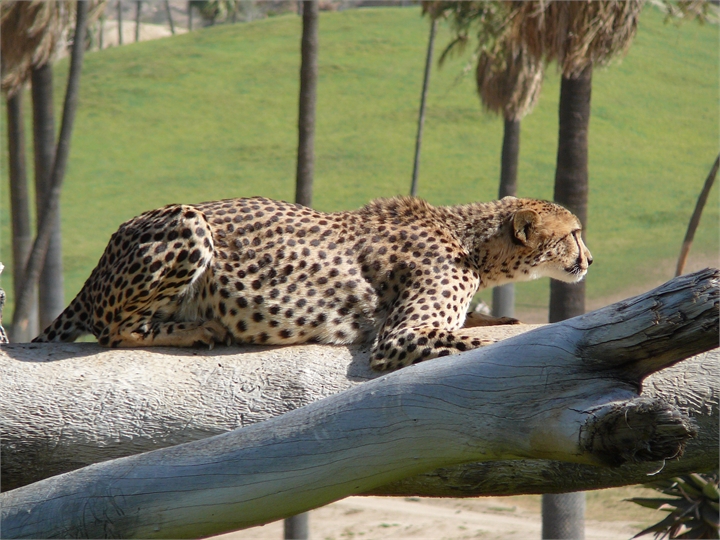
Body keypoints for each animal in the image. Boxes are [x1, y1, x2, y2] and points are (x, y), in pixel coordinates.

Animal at [33, 195, 592, 370]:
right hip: (189, 220)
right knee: (111, 327)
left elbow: (479, 323)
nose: (590, 258)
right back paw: (198, 329)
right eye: (574, 234)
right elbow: (476, 345)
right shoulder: (399, 337)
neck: (472, 240)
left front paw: (496, 314)